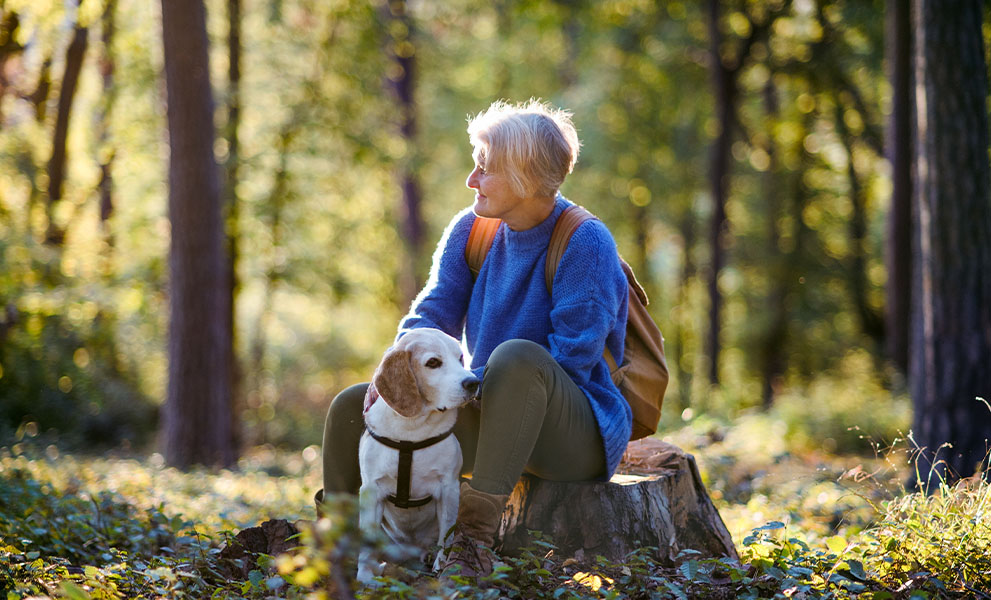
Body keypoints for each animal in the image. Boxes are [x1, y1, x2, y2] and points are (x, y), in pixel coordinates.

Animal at [356, 328, 480, 580]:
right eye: (433, 363)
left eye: (460, 358)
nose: (473, 382)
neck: (411, 431)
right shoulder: (371, 491)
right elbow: (366, 543)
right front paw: (364, 576)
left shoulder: (449, 489)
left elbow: (446, 535)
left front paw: (441, 566)